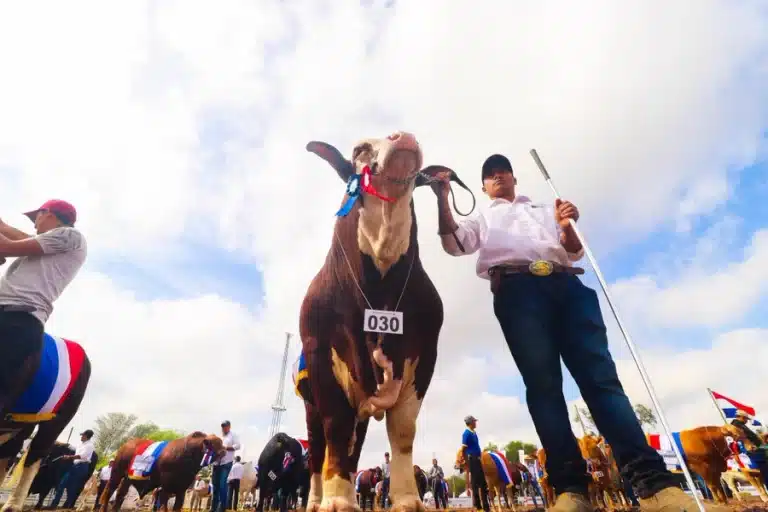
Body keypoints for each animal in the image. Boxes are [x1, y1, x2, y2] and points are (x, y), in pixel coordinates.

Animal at [298, 131, 468, 512]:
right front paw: (335, 500)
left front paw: (407, 498)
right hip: (309, 403)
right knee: (318, 449)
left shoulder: (424, 356)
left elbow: (402, 429)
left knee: (352, 446)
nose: (403, 138)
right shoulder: (322, 357)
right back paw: (317, 499)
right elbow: (335, 427)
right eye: (360, 149)